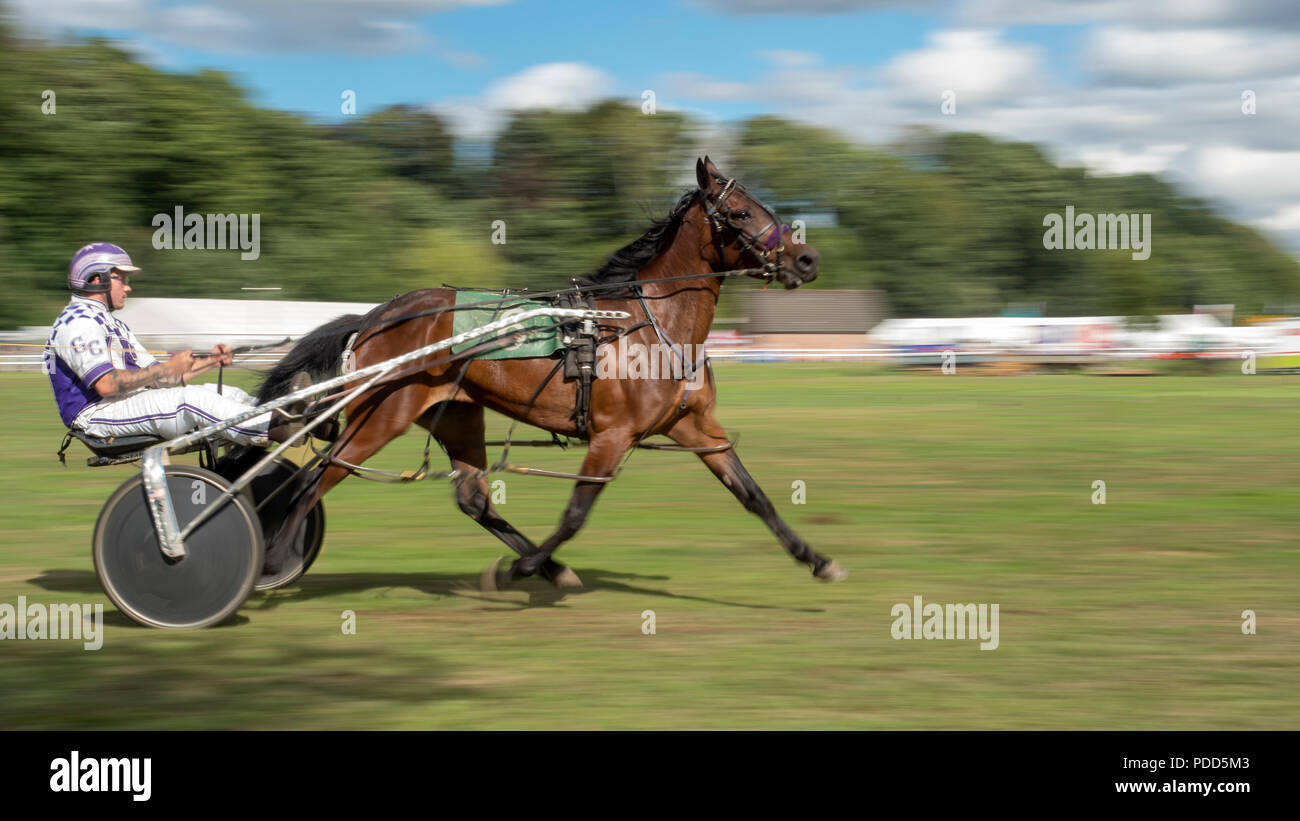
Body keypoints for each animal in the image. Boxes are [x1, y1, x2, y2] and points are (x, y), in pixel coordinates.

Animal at [252, 155, 847, 589]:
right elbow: (576, 514)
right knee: (315, 477)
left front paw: (816, 559)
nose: (807, 259)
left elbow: (752, 494)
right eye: (741, 214)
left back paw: (548, 566)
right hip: (380, 415)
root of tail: (378, 315)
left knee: (472, 497)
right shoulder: (612, 435)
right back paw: (272, 561)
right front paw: (527, 565)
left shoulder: (694, 425)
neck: (651, 327)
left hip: (456, 415)